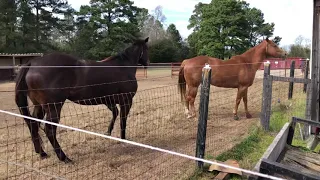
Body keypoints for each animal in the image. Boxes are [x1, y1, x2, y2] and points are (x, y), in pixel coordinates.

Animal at [14, 37, 149, 163]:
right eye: (147, 48)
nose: (147, 63)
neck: (123, 66)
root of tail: (32, 63)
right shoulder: (126, 101)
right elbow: (123, 120)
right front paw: (123, 139)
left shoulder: (108, 101)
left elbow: (115, 114)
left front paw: (108, 132)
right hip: (54, 107)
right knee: (49, 129)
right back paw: (64, 157)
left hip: (40, 106)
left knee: (34, 124)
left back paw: (42, 153)